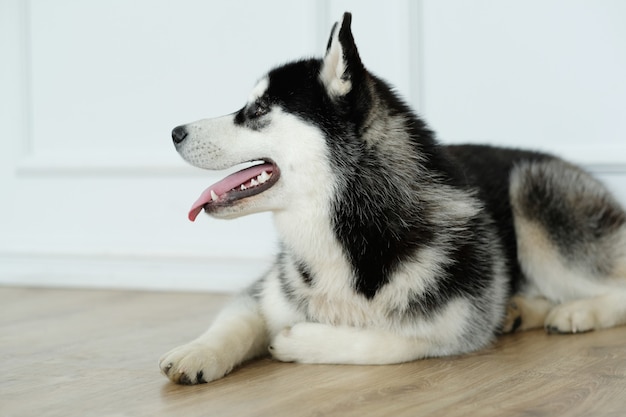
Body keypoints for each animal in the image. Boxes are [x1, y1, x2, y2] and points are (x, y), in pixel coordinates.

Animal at [160, 12, 624, 384]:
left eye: (257, 111)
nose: (175, 132)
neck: (349, 230)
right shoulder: (264, 292)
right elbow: (235, 321)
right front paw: (197, 351)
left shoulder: (455, 325)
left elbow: (387, 341)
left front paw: (299, 340)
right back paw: (523, 310)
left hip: (534, 197)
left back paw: (576, 312)